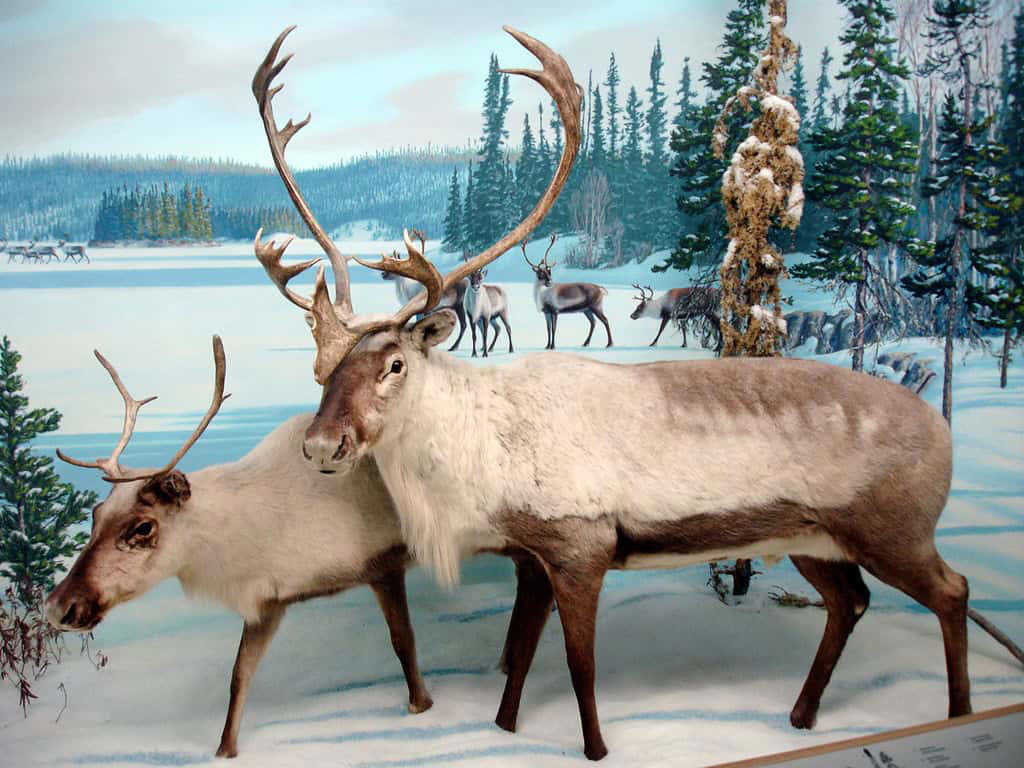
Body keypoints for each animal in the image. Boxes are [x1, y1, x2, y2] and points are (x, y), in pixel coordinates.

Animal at [251, 26, 970, 761]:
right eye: (322, 365)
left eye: (394, 362)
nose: (321, 444)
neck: (483, 468)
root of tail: (945, 431)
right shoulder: (532, 556)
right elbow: (517, 657)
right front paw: (507, 729)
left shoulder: (583, 544)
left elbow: (577, 664)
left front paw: (595, 749)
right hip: (815, 537)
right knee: (851, 601)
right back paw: (801, 716)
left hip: (894, 526)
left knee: (953, 590)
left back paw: (957, 713)